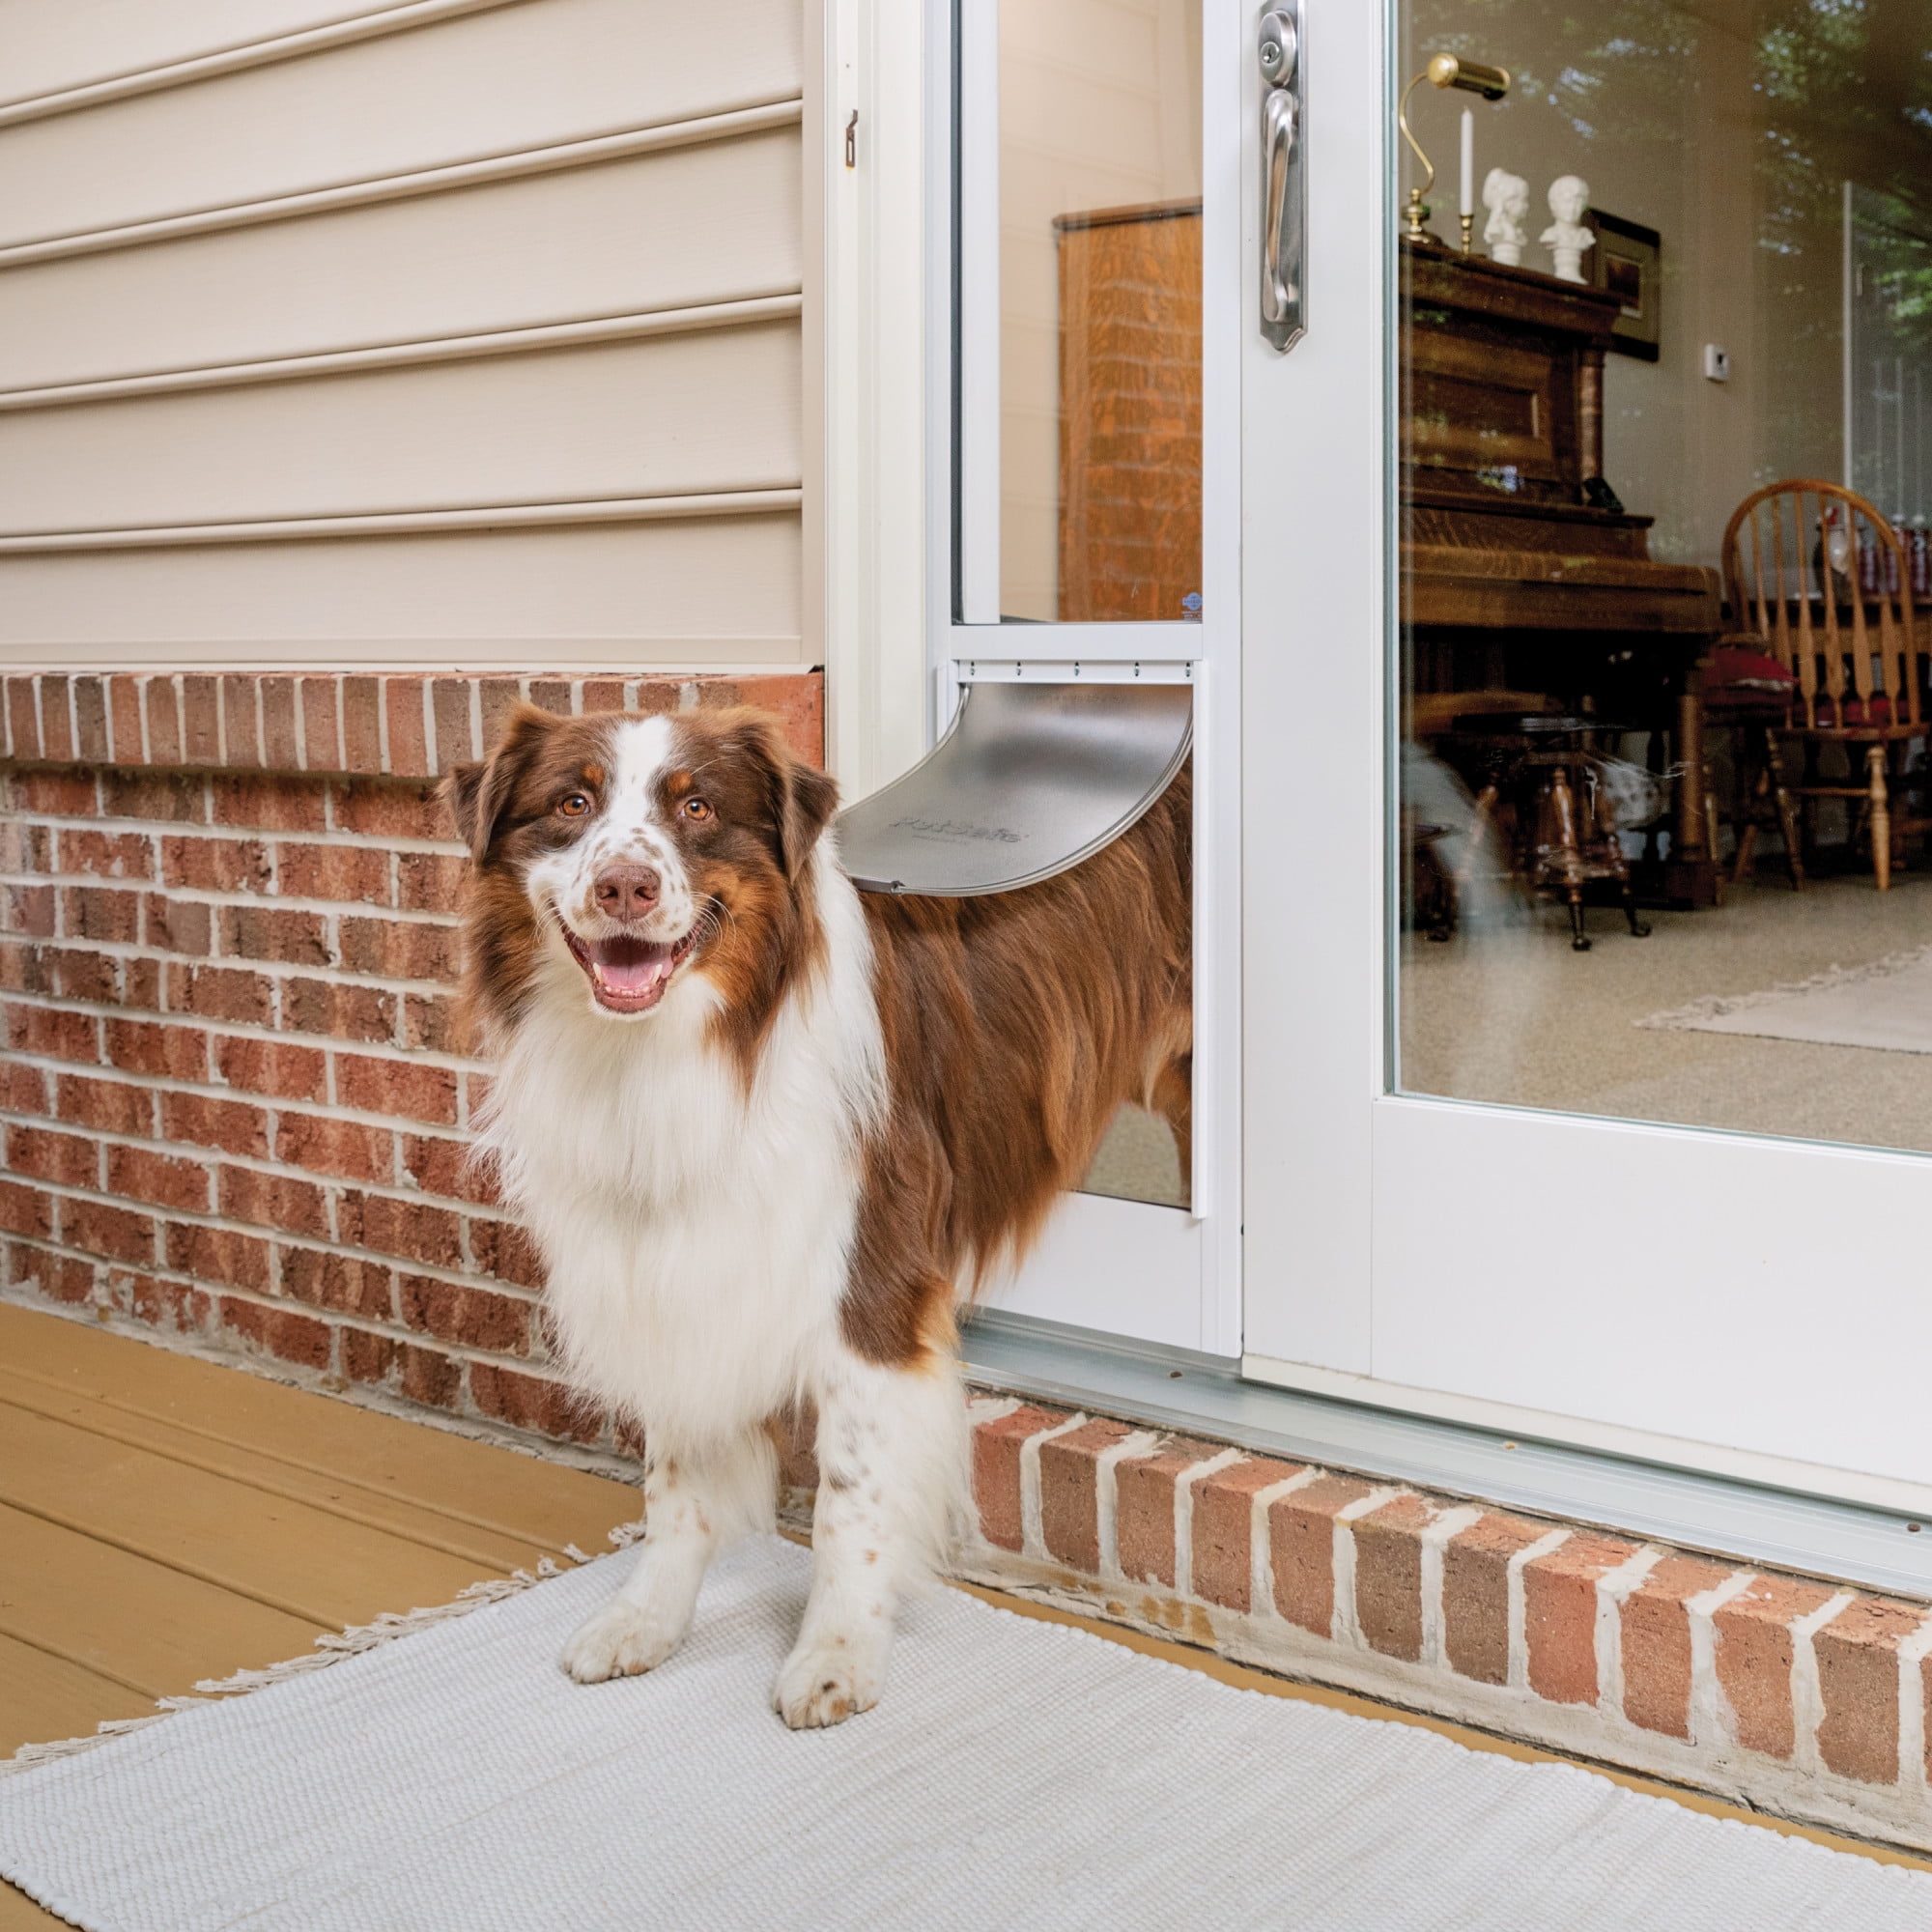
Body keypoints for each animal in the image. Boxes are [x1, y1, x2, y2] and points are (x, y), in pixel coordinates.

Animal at [444, 703, 1182, 1731]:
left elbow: (850, 1496)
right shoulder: (673, 1264)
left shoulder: (871, 1279)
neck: (684, 1049)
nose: (626, 885)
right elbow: (675, 1476)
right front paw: (647, 1619)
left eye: (698, 808)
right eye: (571, 804)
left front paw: (837, 1654)